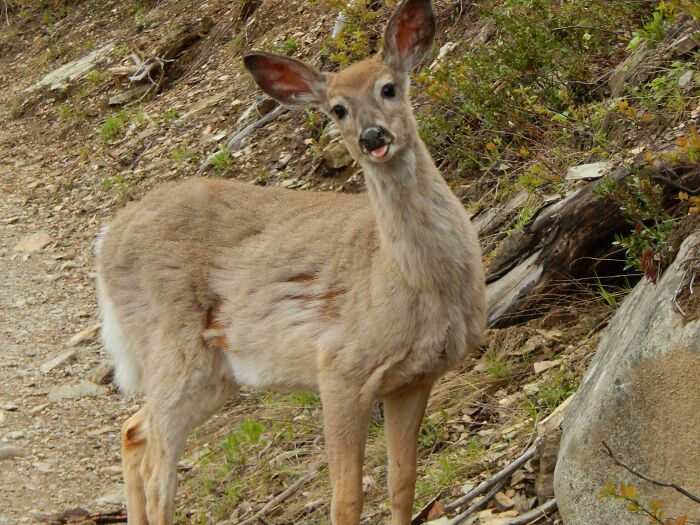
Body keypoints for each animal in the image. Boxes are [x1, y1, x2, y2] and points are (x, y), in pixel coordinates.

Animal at [95, 1, 485, 523]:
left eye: (389, 87)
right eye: (337, 108)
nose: (373, 136)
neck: (409, 281)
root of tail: (105, 241)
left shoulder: (416, 378)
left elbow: (403, 483)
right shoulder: (339, 367)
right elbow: (346, 497)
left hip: (215, 374)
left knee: (133, 431)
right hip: (171, 347)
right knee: (159, 472)